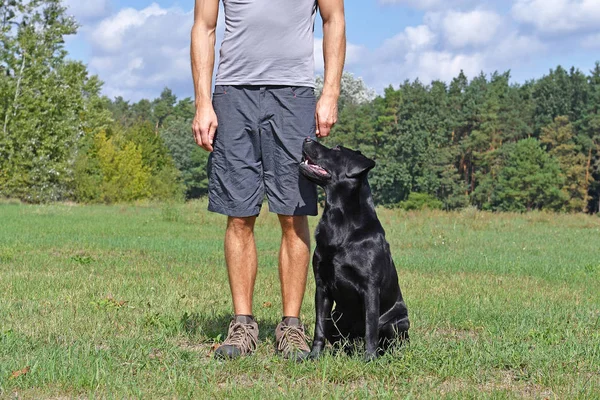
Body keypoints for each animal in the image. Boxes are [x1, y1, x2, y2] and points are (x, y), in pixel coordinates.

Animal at [298, 139, 408, 360]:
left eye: (336, 150)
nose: (306, 139)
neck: (339, 220)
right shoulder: (322, 286)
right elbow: (319, 326)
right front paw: (314, 356)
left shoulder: (370, 287)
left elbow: (370, 327)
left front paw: (370, 359)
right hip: (335, 317)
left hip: (398, 322)